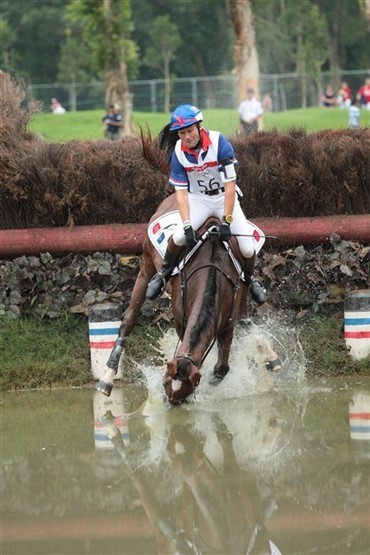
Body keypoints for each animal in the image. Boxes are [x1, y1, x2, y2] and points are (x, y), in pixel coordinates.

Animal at [96, 193, 280, 406]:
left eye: (185, 391)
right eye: (165, 383)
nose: (170, 403)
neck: (212, 269)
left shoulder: (228, 322)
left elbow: (222, 367)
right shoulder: (181, 320)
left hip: (241, 290)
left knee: (245, 316)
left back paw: (270, 355)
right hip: (146, 266)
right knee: (129, 320)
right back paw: (107, 378)